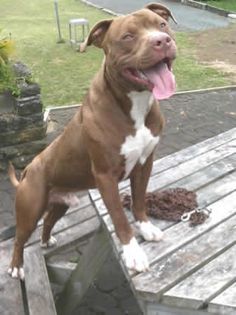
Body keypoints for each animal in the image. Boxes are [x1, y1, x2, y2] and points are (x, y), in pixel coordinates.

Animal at [8, 3, 176, 282]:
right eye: (127, 37)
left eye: (161, 25)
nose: (162, 40)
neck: (135, 103)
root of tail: (29, 168)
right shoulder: (106, 177)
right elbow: (119, 217)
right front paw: (133, 252)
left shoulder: (144, 164)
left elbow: (139, 201)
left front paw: (146, 227)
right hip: (30, 208)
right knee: (20, 239)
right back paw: (16, 266)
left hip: (60, 203)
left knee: (49, 221)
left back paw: (46, 240)